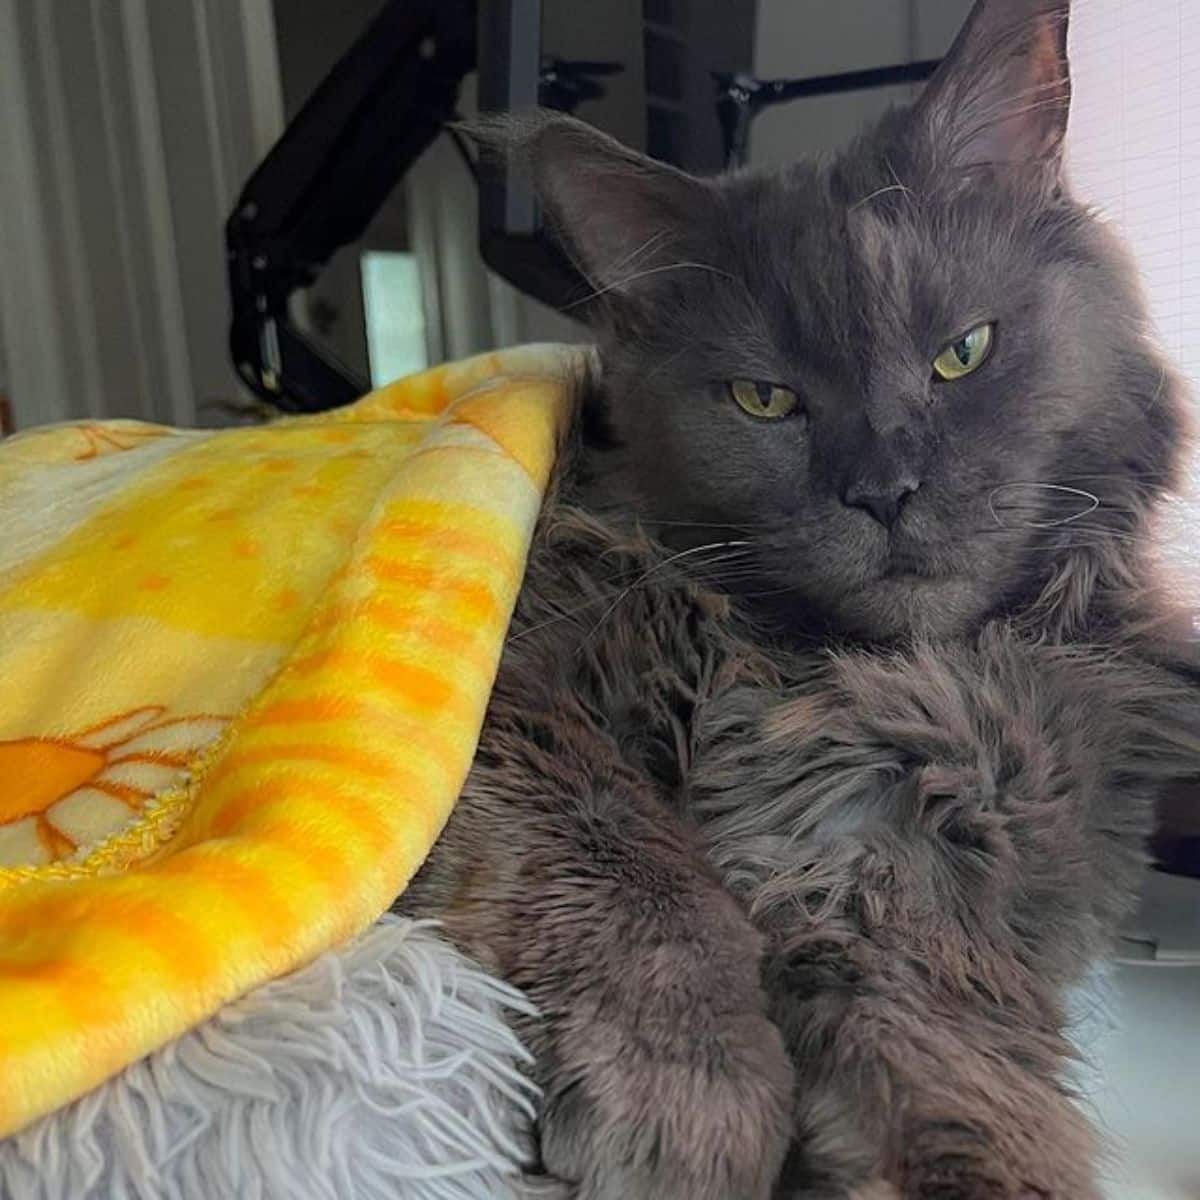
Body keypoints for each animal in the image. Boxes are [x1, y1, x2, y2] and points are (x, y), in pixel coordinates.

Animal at [400, 4, 1200, 1195]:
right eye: (765, 399)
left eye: (962, 354)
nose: (884, 490)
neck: (831, 681)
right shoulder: (510, 696)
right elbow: (637, 869)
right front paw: (684, 1101)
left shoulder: (913, 907)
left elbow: (955, 1099)